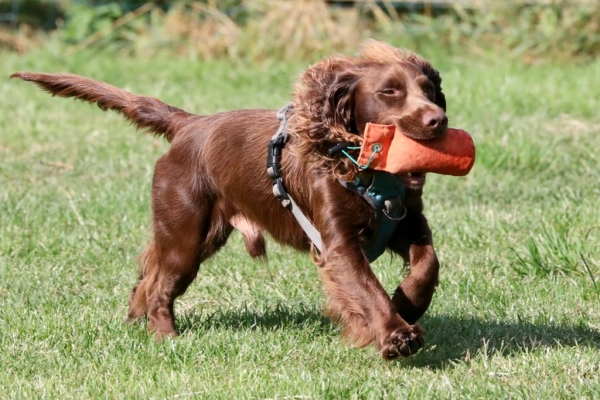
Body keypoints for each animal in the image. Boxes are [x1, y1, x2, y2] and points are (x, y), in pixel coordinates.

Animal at [11, 40, 448, 360]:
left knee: (148, 275)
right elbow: (366, 289)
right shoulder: (338, 244)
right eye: (388, 92)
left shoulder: (406, 222)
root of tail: (189, 125)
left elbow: (428, 263)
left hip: (203, 233)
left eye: (430, 91)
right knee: (161, 285)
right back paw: (165, 336)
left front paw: (407, 303)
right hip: (186, 232)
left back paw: (138, 322)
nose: (437, 121)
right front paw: (395, 334)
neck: (368, 173)